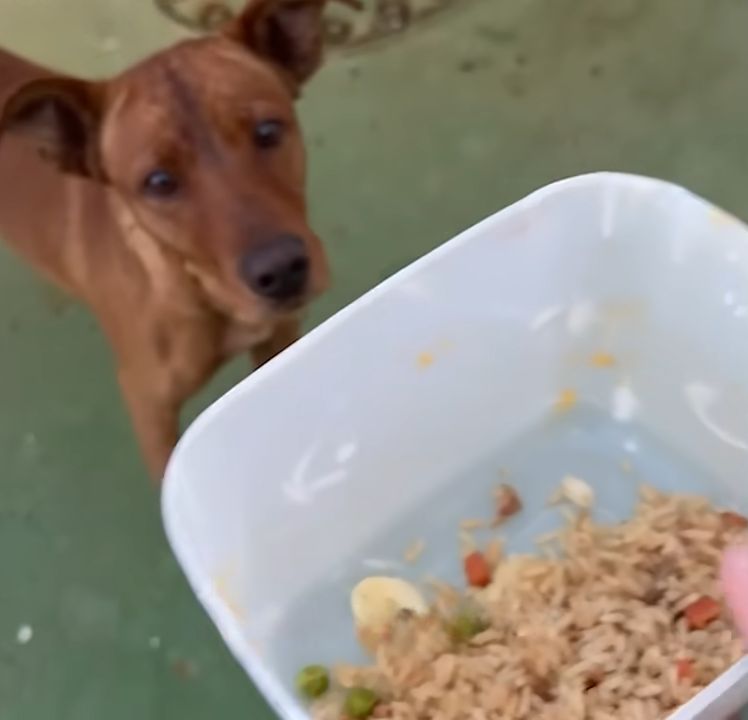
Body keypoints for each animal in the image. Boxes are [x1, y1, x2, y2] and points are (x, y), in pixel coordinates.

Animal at [0, 2, 342, 484]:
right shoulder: (148, 408)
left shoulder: (279, 342)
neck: (201, 289)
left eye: (268, 131)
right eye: (159, 182)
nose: (282, 271)